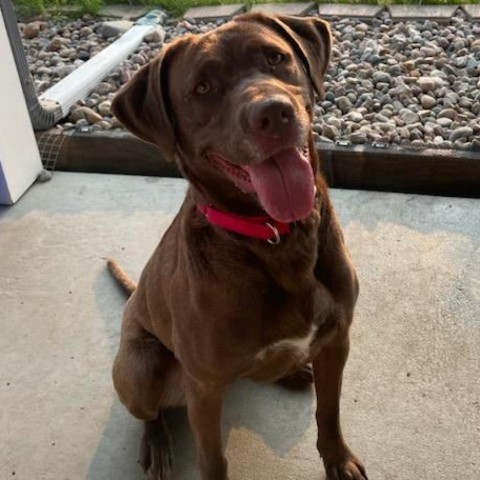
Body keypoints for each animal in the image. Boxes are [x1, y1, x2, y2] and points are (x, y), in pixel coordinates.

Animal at [109, 11, 368, 480]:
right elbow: (213, 459)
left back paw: (290, 372)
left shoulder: (337, 339)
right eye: (202, 87)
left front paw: (338, 459)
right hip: (141, 365)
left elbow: (329, 412)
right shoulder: (204, 387)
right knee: (149, 411)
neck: (276, 236)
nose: (274, 114)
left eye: (275, 57)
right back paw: (156, 442)